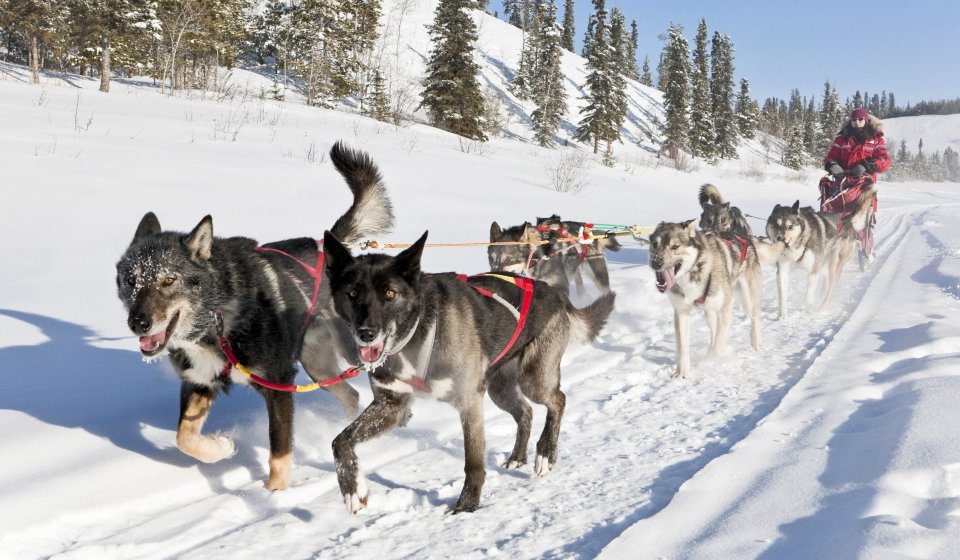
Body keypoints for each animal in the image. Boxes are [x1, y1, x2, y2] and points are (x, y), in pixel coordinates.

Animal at [114, 141, 392, 490]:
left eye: (168, 280)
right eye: (131, 280)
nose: (138, 323)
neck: (217, 320)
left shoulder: (278, 384)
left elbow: (279, 452)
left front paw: (276, 493)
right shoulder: (199, 380)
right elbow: (184, 438)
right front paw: (221, 447)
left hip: (356, 348)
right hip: (319, 367)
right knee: (350, 395)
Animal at [322, 230, 616, 516]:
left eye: (390, 294)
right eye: (353, 293)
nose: (366, 333)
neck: (416, 333)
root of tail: (555, 293)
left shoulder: (469, 401)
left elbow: (473, 461)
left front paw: (467, 505)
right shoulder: (391, 406)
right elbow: (340, 441)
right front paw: (353, 489)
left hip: (534, 379)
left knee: (558, 401)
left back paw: (545, 454)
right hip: (500, 388)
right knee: (526, 412)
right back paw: (517, 457)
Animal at [648, 221, 784, 378]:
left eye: (675, 246)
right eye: (655, 244)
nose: (655, 263)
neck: (696, 271)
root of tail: (746, 238)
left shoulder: (726, 305)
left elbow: (719, 346)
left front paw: (727, 350)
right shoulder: (681, 311)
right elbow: (682, 347)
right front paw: (681, 373)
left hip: (747, 300)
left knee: (755, 318)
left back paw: (756, 342)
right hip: (709, 312)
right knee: (714, 332)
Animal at [764, 182, 876, 318]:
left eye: (790, 226)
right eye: (775, 225)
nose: (780, 238)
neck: (799, 243)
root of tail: (846, 220)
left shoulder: (813, 270)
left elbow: (808, 295)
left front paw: (809, 303)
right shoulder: (782, 271)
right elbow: (782, 296)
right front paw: (782, 316)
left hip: (834, 264)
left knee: (831, 287)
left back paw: (822, 307)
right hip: (824, 265)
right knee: (826, 281)